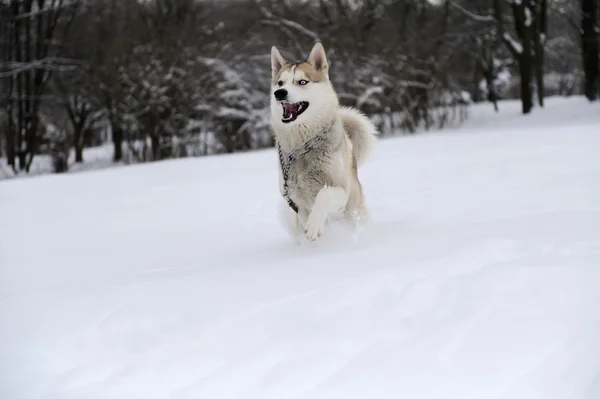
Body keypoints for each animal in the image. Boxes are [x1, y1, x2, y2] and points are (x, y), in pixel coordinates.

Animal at [270, 42, 378, 242]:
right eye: (280, 83)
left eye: (302, 82)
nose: (279, 93)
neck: (304, 147)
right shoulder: (296, 201)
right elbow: (305, 216)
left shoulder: (340, 190)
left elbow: (323, 194)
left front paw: (314, 226)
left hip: (354, 207)